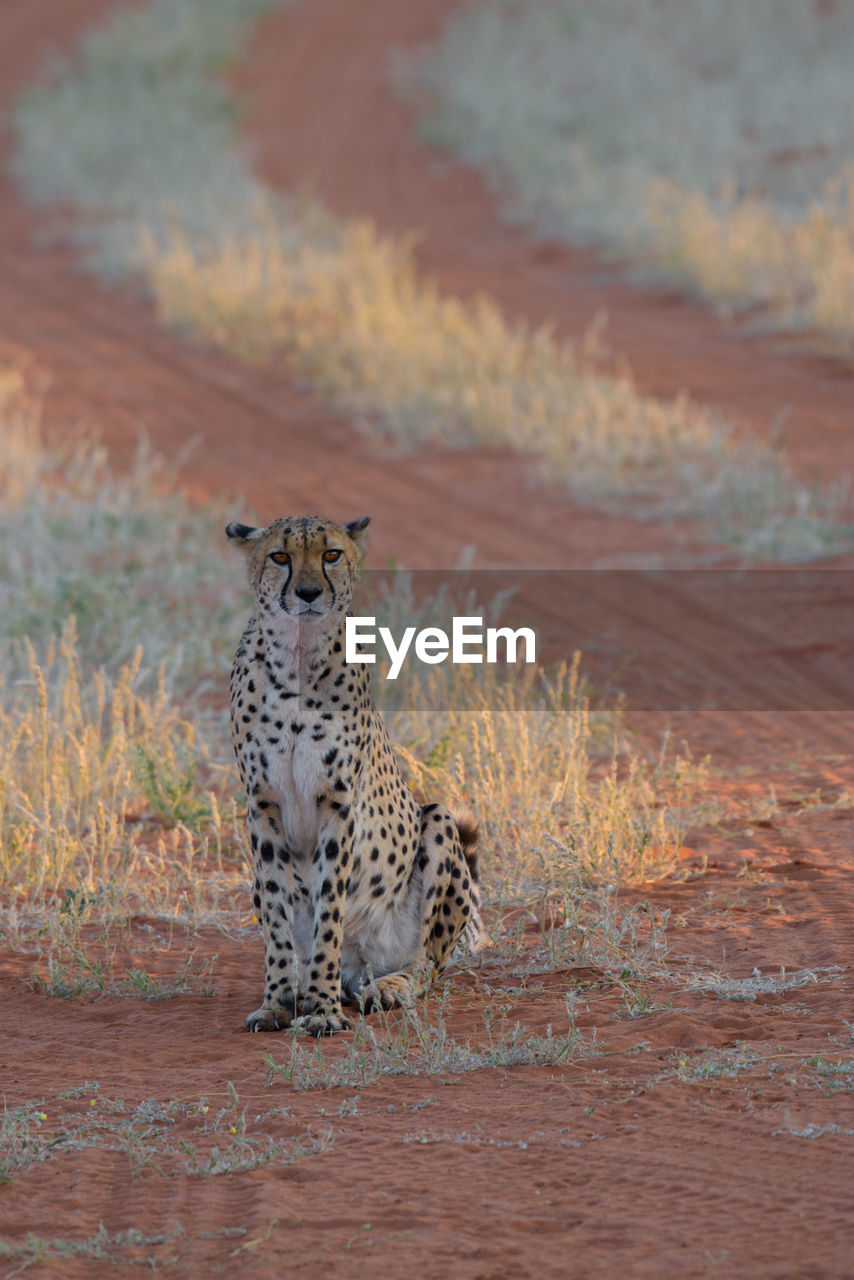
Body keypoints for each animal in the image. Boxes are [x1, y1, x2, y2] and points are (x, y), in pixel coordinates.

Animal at [226, 514, 483, 1034]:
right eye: (279, 556)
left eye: (331, 554)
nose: (307, 593)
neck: (298, 657)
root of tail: (360, 965)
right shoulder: (262, 806)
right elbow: (280, 921)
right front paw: (278, 1002)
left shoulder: (338, 804)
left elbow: (329, 911)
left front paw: (323, 1012)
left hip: (439, 821)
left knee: (427, 963)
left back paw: (387, 987)